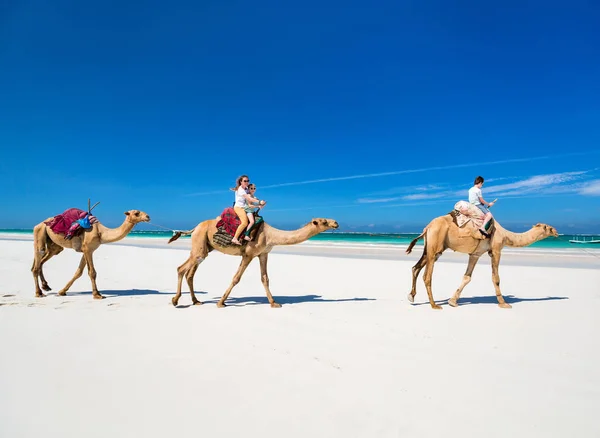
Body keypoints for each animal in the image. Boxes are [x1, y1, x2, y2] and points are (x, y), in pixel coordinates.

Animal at [169, 209, 338, 308]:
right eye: (323, 221)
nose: (335, 222)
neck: (270, 235)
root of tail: (194, 228)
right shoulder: (249, 254)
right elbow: (236, 278)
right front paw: (221, 302)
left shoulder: (263, 254)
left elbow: (265, 278)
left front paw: (274, 303)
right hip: (199, 244)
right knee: (181, 268)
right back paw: (175, 300)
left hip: (203, 247)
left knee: (190, 273)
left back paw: (196, 301)